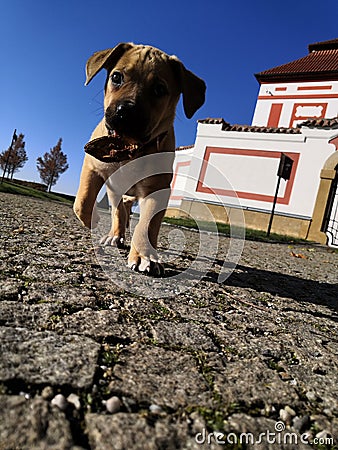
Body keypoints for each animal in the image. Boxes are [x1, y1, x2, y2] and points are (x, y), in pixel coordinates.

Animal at [74, 43, 206, 274]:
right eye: (116, 77)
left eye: (159, 89)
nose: (125, 112)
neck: (129, 148)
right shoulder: (93, 166)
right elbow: (83, 202)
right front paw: (95, 220)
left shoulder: (156, 190)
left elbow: (146, 225)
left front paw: (145, 256)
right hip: (115, 191)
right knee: (119, 211)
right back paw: (115, 235)